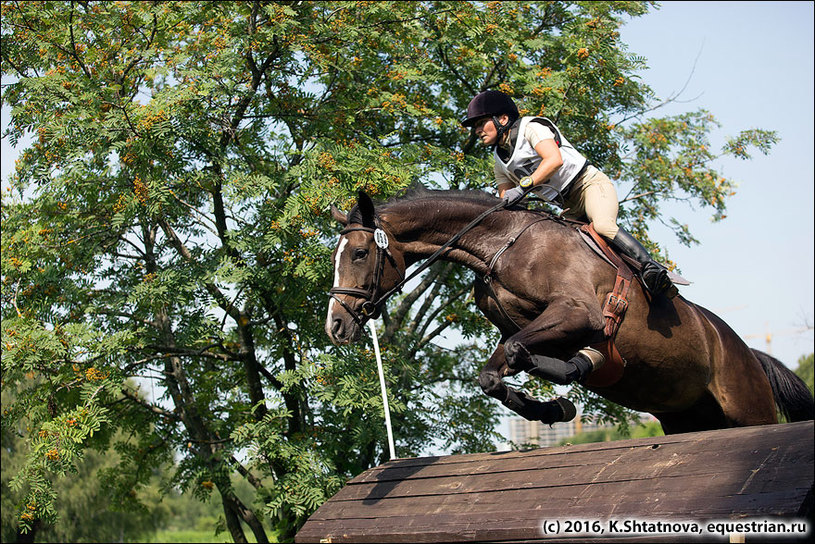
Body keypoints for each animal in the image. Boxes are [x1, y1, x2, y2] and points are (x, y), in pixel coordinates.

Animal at [326, 189, 815, 436]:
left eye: (359, 253)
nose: (335, 326)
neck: (500, 246)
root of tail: (750, 354)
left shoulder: (580, 315)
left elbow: (517, 352)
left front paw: (564, 381)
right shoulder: (524, 327)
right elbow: (496, 370)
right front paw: (554, 408)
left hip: (749, 410)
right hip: (687, 419)